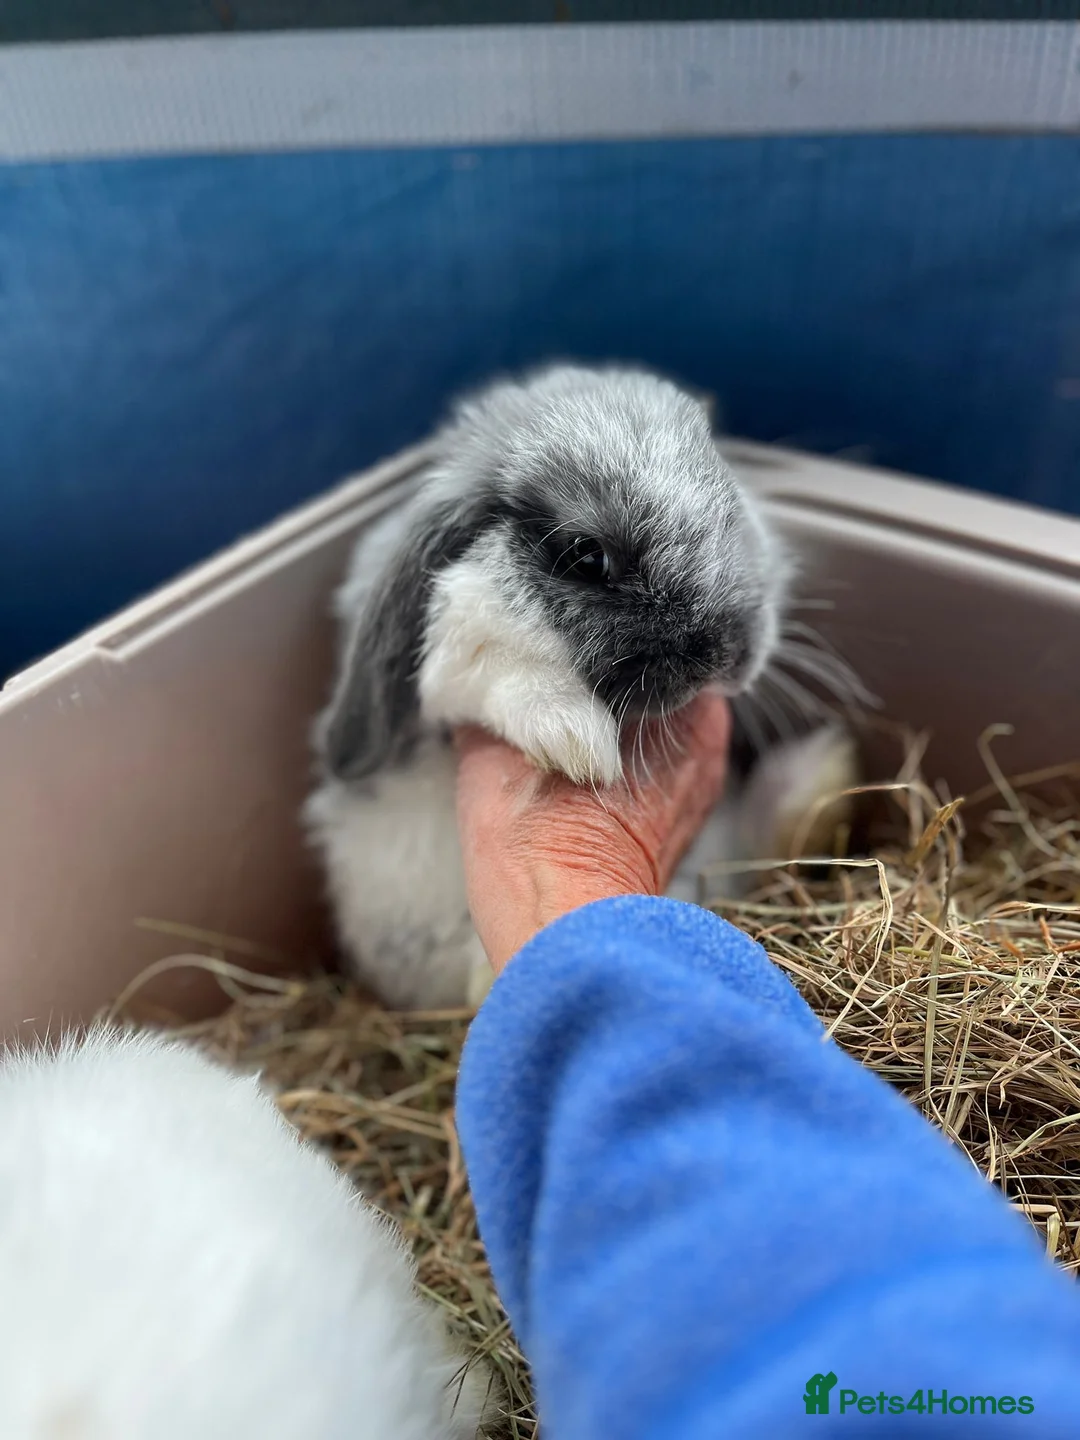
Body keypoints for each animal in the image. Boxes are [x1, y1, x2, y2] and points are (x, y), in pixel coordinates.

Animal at [305, 363, 859, 1010]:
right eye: (586, 556)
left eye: (732, 508)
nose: (729, 654)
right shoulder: (452, 665)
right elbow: (499, 674)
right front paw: (577, 743)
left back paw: (823, 773)